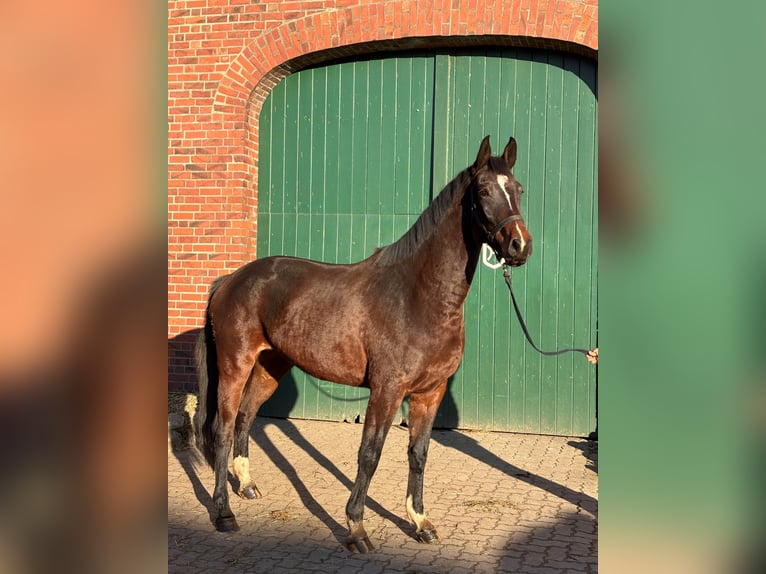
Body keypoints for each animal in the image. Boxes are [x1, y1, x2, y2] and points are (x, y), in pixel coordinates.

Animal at [196, 135, 536, 552]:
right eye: (485, 190)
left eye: (518, 189)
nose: (520, 245)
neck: (419, 294)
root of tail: (229, 280)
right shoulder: (387, 390)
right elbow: (370, 454)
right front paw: (356, 528)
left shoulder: (430, 392)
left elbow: (418, 453)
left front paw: (420, 522)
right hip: (234, 365)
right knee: (223, 429)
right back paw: (224, 513)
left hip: (270, 366)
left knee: (245, 418)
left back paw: (246, 485)